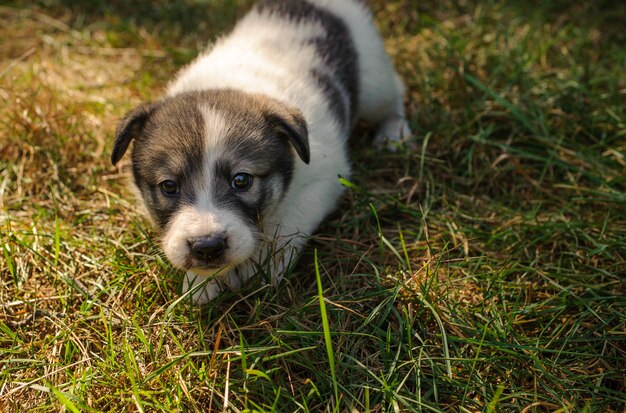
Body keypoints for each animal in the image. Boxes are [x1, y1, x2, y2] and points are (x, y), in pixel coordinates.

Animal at [112, 0, 410, 302]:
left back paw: (394, 132)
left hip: (374, 81)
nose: (207, 246)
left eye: (241, 180)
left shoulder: (322, 180)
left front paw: (259, 268)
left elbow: (287, 225)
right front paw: (202, 283)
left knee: (394, 93)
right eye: (169, 186)